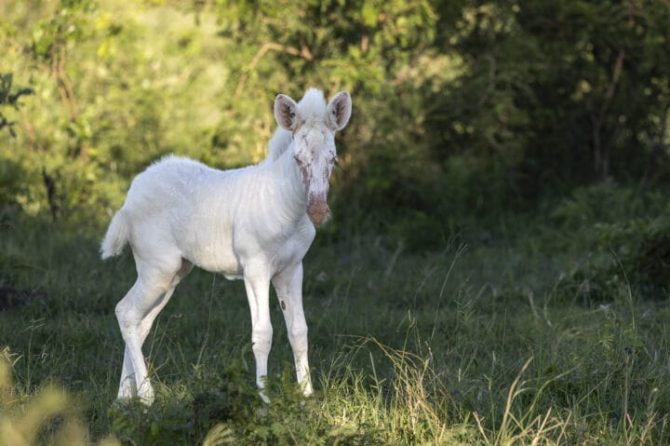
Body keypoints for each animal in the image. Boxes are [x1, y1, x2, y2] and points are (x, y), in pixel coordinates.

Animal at [101, 88, 352, 404]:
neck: (289, 208)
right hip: (157, 268)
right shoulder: (255, 267)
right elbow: (263, 334)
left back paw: (123, 398)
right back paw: (146, 396)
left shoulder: (292, 268)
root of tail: (128, 200)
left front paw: (307, 396)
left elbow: (298, 331)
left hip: (173, 274)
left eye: (334, 159)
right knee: (126, 312)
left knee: (139, 322)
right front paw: (265, 400)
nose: (318, 212)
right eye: (297, 158)